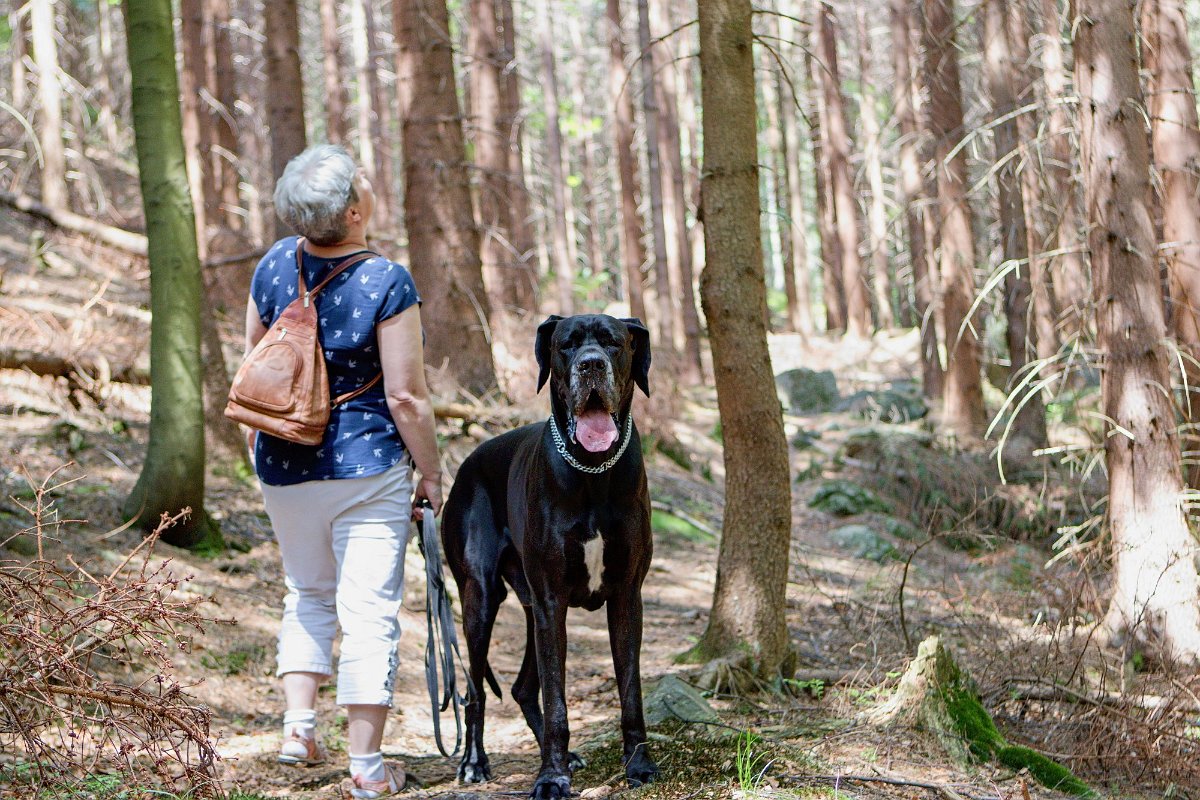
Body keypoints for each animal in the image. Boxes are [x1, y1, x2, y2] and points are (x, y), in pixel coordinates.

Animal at [446, 314, 662, 800]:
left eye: (613, 343)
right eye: (567, 345)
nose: (590, 365)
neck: (593, 471)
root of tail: (465, 463)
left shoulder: (626, 596)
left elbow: (632, 692)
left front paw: (639, 766)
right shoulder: (551, 601)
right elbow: (558, 699)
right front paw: (551, 778)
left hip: (531, 606)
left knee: (523, 687)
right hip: (483, 598)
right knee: (476, 689)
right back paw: (474, 761)